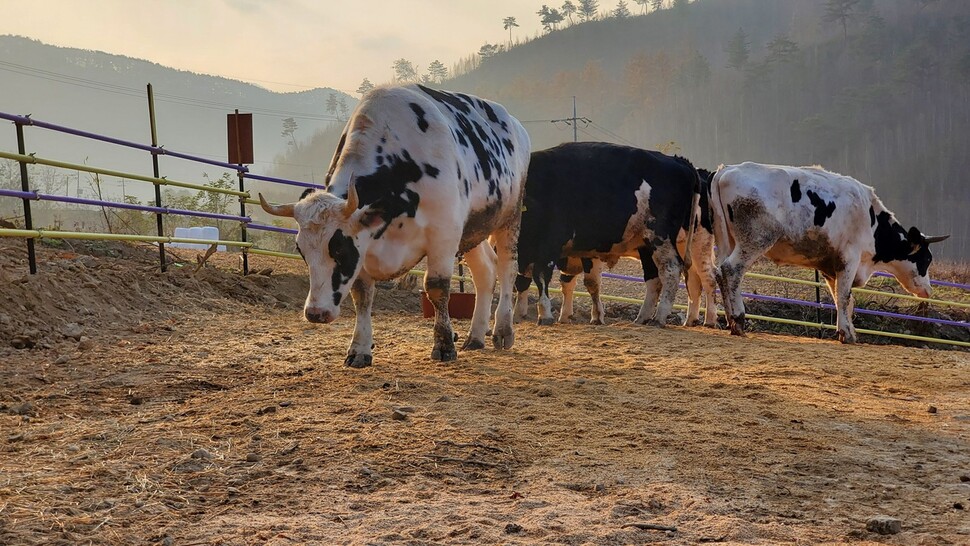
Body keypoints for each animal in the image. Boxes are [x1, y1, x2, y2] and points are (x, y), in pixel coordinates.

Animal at [258, 84, 528, 366]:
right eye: (301, 250)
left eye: (340, 248)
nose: (315, 313)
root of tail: (515, 124)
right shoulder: (365, 244)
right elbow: (362, 294)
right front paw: (359, 348)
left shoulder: (443, 235)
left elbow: (437, 287)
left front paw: (444, 345)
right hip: (473, 230)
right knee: (485, 272)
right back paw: (475, 336)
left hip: (510, 218)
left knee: (507, 269)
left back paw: (503, 330)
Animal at [510, 142, 700, 326]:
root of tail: (677, 161)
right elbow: (522, 281)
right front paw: (517, 314)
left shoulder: (548, 246)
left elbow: (541, 277)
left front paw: (544, 314)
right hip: (646, 245)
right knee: (654, 279)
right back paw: (642, 318)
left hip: (661, 238)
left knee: (670, 271)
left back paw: (659, 318)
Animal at [712, 159, 944, 342]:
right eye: (926, 259)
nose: (928, 291)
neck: (871, 219)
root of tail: (727, 170)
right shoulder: (849, 259)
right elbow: (844, 296)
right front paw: (846, 334)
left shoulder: (830, 266)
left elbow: (841, 298)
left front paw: (847, 331)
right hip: (755, 240)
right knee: (732, 269)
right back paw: (738, 319)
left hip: (726, 241)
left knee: (719, 271)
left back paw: (730, 321)